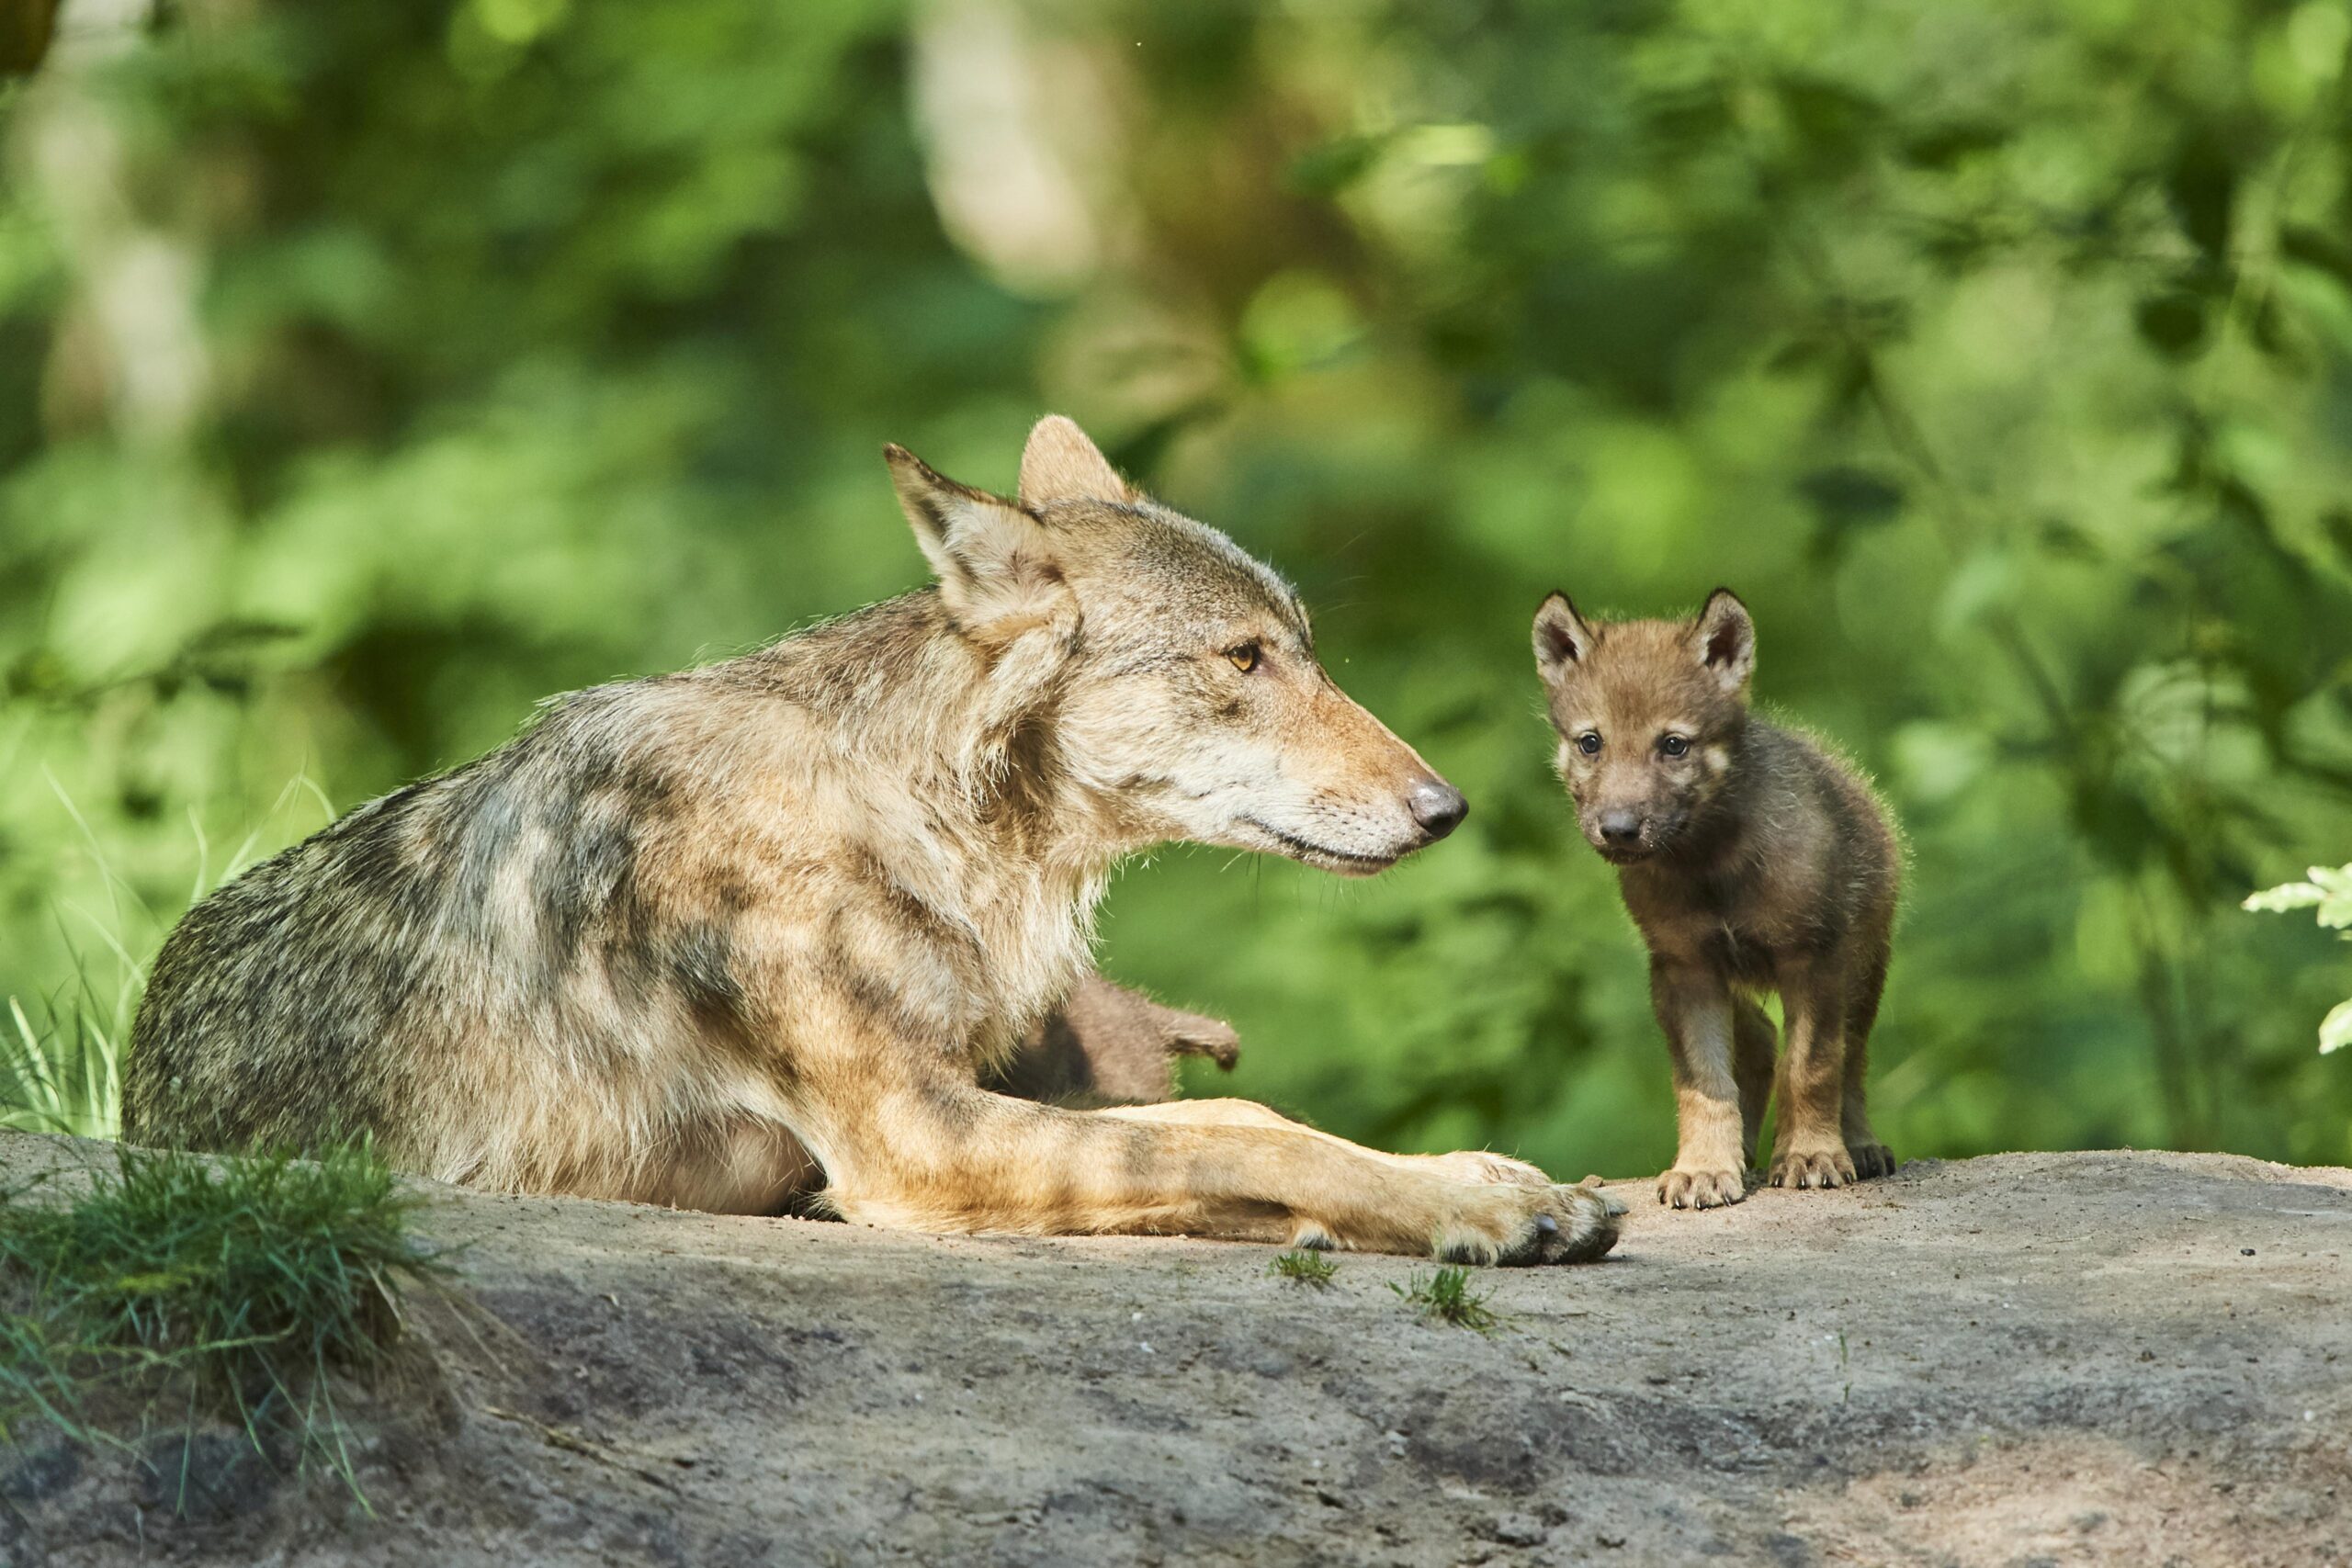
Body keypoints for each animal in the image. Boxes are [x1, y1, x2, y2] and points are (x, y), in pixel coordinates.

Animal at [125, 417, 1619, 1264]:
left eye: (1303, 648)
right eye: (1244, 660)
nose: (1447, 808)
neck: (931, 826)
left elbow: (1234, 1123)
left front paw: (1478, 1179)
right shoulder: (914, 1135)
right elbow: (1248, 1139)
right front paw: (1486, 1205)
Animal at [1531, 588, 1900, 1210]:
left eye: (1674, 745)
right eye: (1591, 743)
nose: (1618, 829)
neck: (1709, 866)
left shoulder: (1813, 956)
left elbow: (1812, 1067)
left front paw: (1810, 1155)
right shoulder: (1685, 967)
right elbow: (1703, 1082)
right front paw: (1704, 1167)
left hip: (1864, 968)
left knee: (1851, 1057)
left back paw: (1859, 1145)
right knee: (1760, 1043)